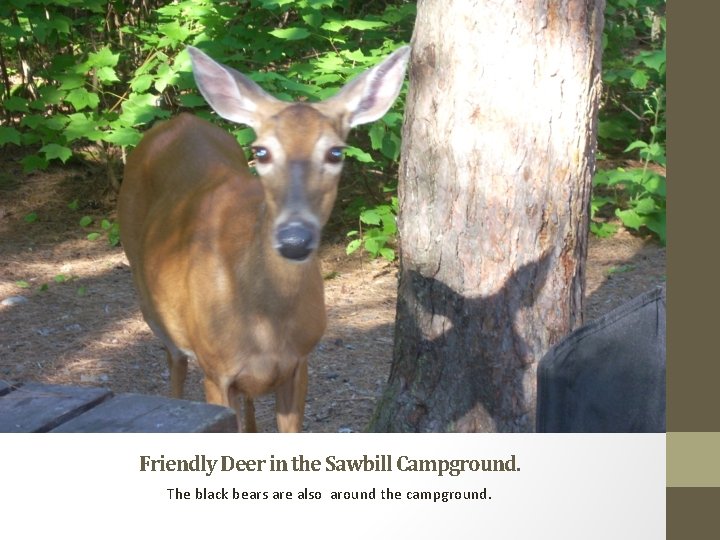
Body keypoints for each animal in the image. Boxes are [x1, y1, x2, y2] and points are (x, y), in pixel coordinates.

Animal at [118, 45, 410, 434]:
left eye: (336, 152)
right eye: (261, 152)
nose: (294, 239)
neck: (264, 323)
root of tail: (178, 121)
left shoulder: (298, 364)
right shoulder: (215, 370)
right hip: (150, 297)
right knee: (174, 362)